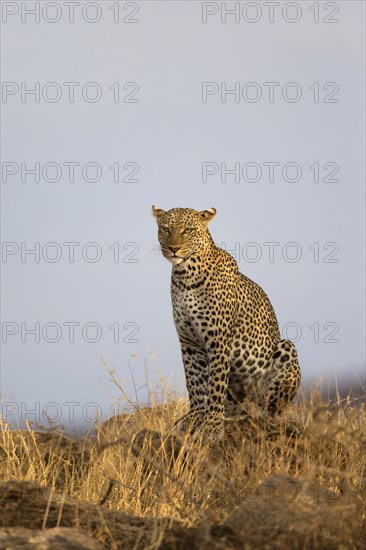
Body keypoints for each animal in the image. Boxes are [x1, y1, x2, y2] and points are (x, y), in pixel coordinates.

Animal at [152, 205, 300, 442]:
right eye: (165, 228)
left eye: (188, 230)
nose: (173, 248)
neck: (185, 276)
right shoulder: (189, 343)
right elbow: (194, 383)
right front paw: (195, 417)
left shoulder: (218, 342)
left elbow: (215, 386)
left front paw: (212, 426)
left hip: (286, 349)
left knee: (271, 409)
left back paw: (259, 417)